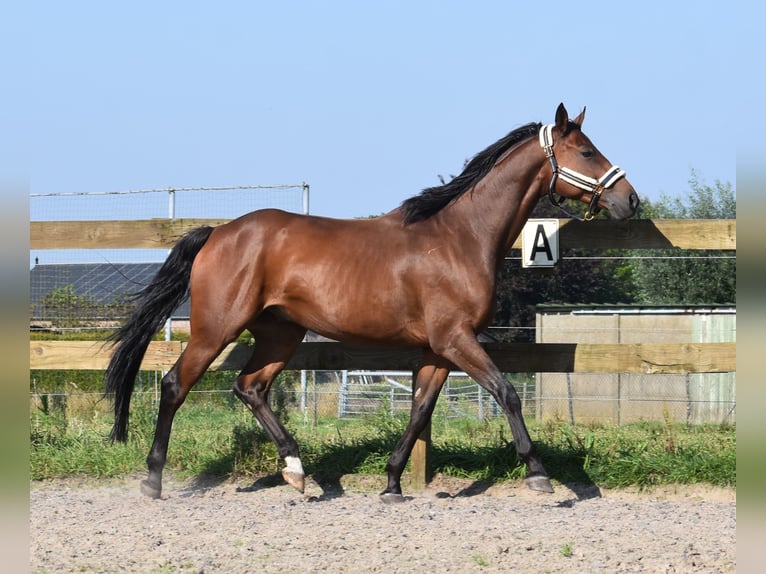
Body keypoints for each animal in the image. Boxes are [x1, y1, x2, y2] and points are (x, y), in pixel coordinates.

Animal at [105, 104, 640, 504]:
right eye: (587, 150)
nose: (630, 201)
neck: (460, 237)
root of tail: (218, 232)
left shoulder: (437, 350)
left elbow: (420, 410)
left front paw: (392, 483)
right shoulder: (456, 339)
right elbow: (506, 392)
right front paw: (539, 474)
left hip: (281, 333)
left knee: (250, 387)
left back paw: (298, 472)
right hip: (215, 329)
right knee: (175, 385)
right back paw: (153, 480)